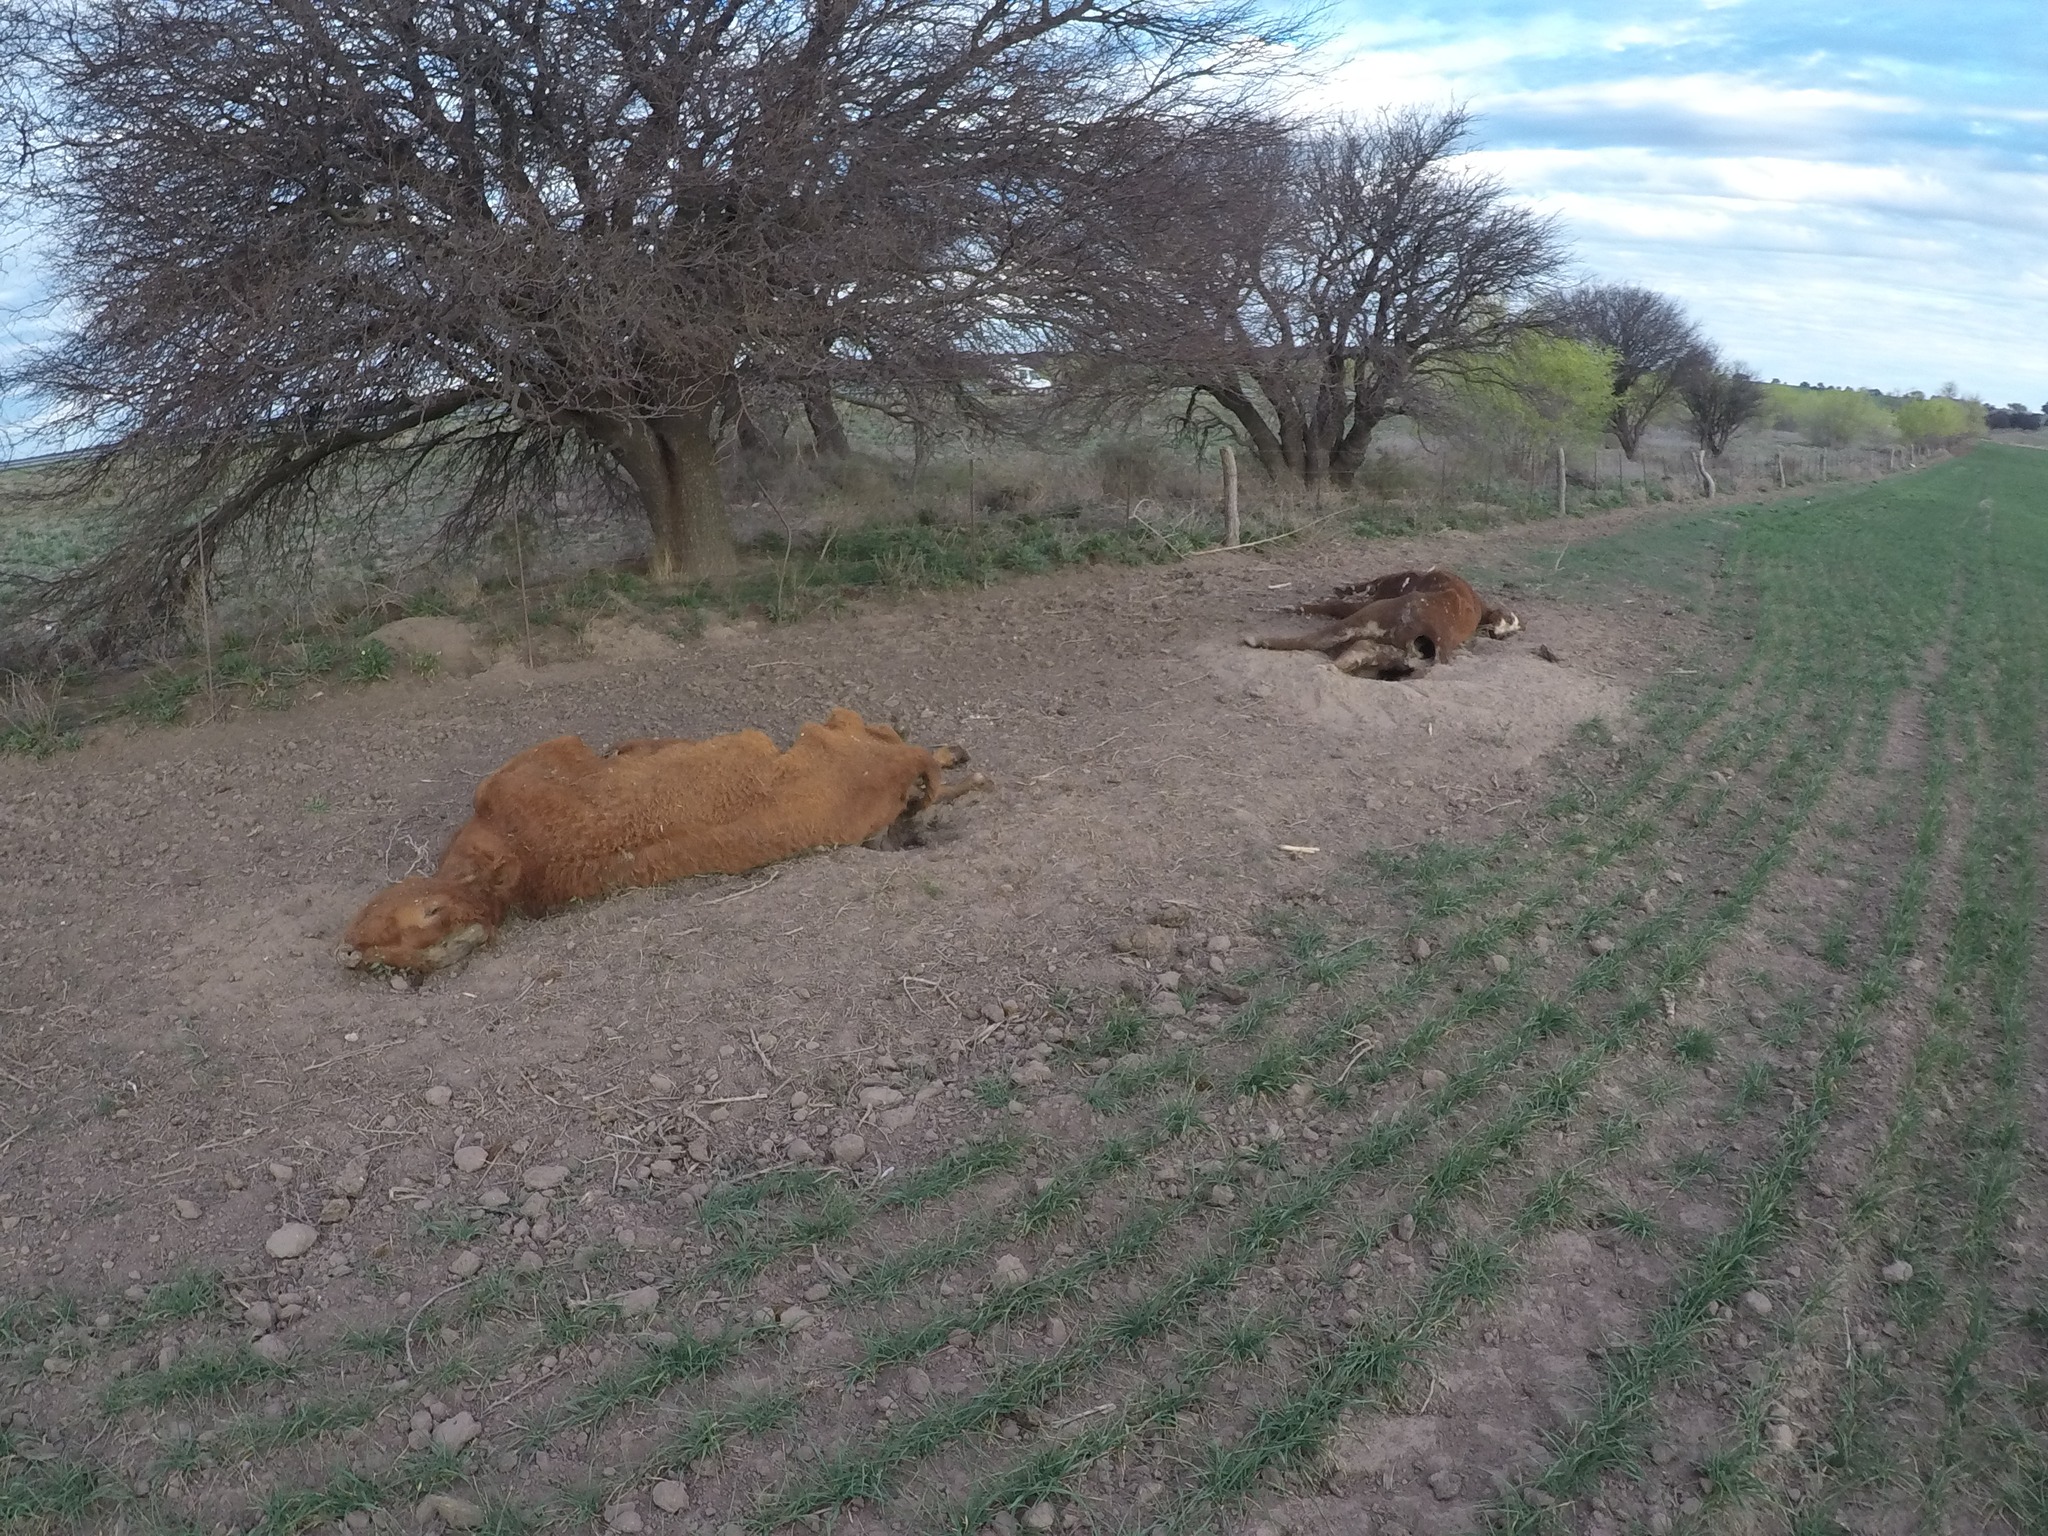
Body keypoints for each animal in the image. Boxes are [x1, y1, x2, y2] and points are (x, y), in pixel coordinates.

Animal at [340, 708, 987, 975]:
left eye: (430, 911)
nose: (352, 950)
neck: (518, 852)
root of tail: (897, 768)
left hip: (843, 726)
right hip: (847, 735)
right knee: (919, 768)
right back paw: (959, 764)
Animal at [1243, 568, 1520, 678]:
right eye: (1505, 623)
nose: (1498, 633)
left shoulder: (1387, 586)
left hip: (1369, 613)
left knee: (1322, 631)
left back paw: (1255, 635)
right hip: (1392, 652)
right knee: (1357, 650)